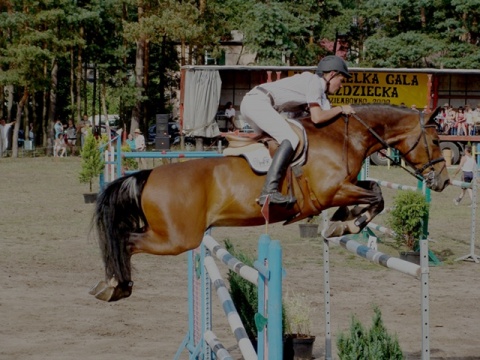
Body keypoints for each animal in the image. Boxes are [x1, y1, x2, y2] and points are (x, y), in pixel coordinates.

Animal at [89, 104, 450, 300]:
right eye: (435, 140)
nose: (444, 181)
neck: (343, 136)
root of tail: (148, 175)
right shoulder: (331, 191)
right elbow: (376, 196)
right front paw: (346, 222)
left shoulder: (344, 186)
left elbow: (374, 188)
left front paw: (341, 221)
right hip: (178, 238)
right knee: (126, 240)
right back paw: (115, 285)